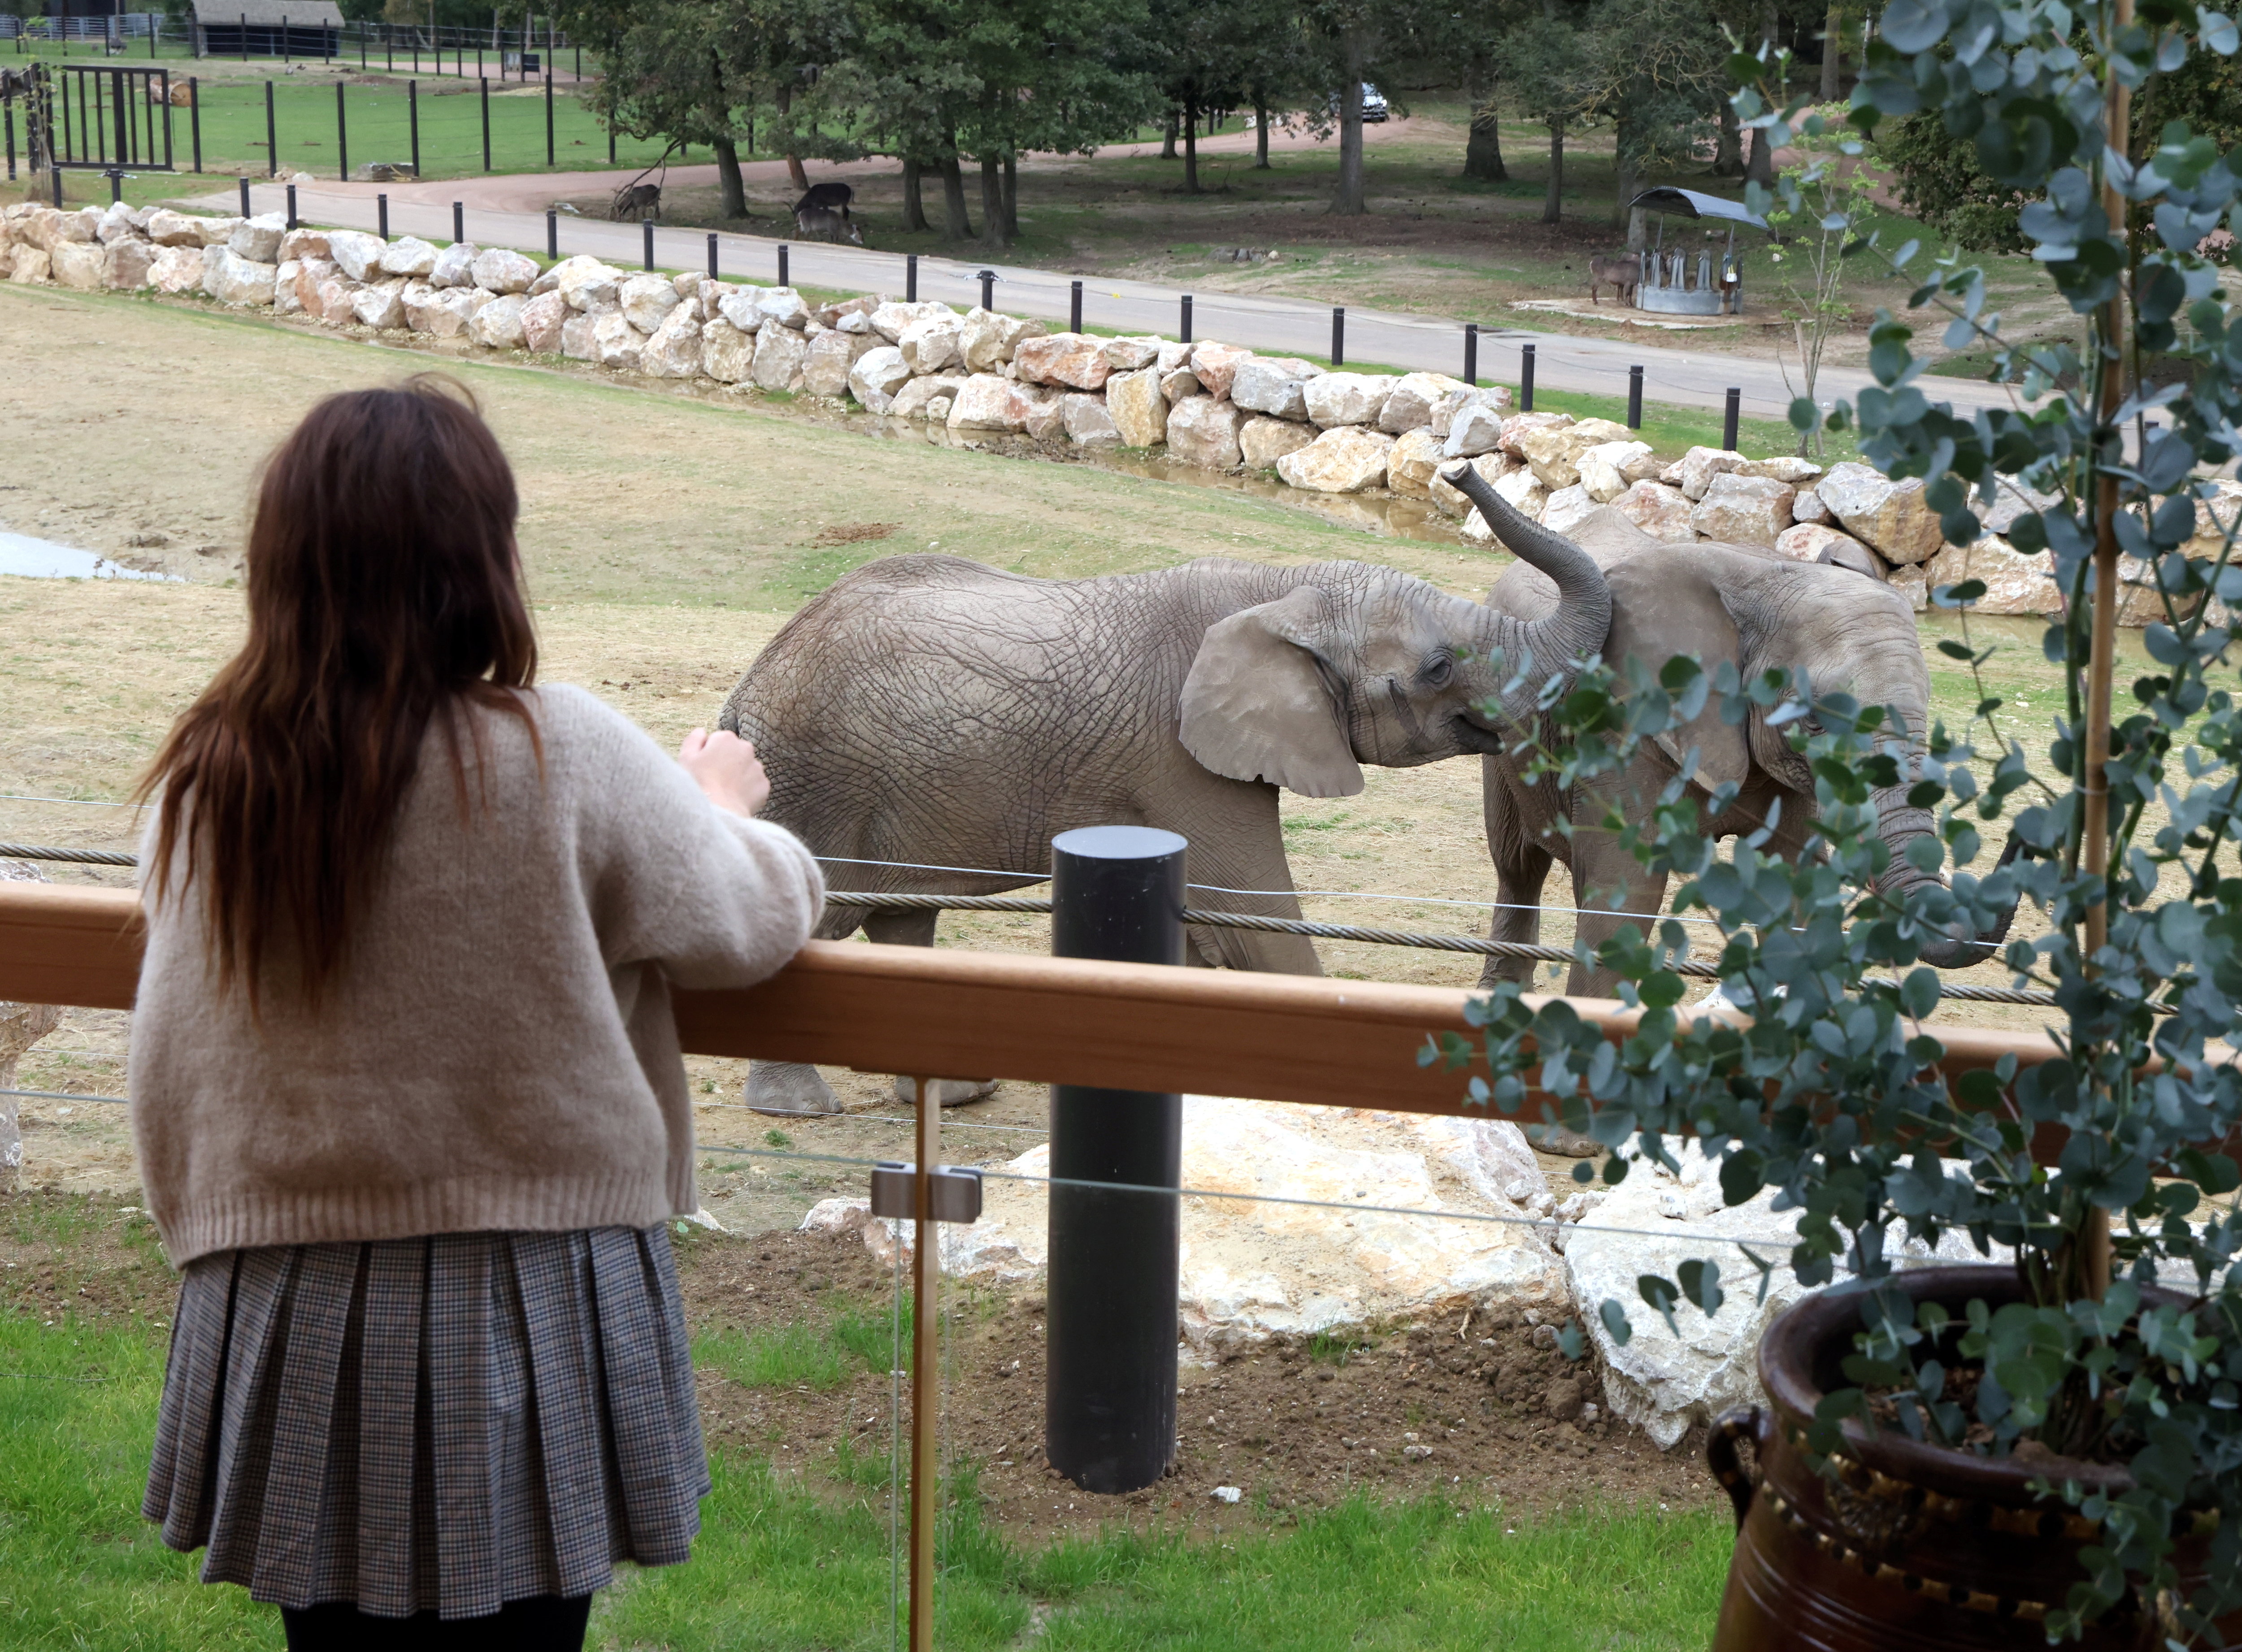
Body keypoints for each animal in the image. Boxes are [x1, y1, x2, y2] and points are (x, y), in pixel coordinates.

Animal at [717, 464, 1614, 1107]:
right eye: (1436, 669)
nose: (1459, 465)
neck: (1281, 586)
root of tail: (745, 688)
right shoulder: (1181, 756)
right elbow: (1252, 909)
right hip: (816, 782)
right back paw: (799, 1107)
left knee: (906, 921)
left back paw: (959, 1095)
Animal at [1471, 500, 2018, 991]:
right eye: (1814, 721)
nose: (2019, 843)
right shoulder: (1625, 728)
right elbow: (1626, 896)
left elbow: (1793, 888)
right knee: (1516, 864)